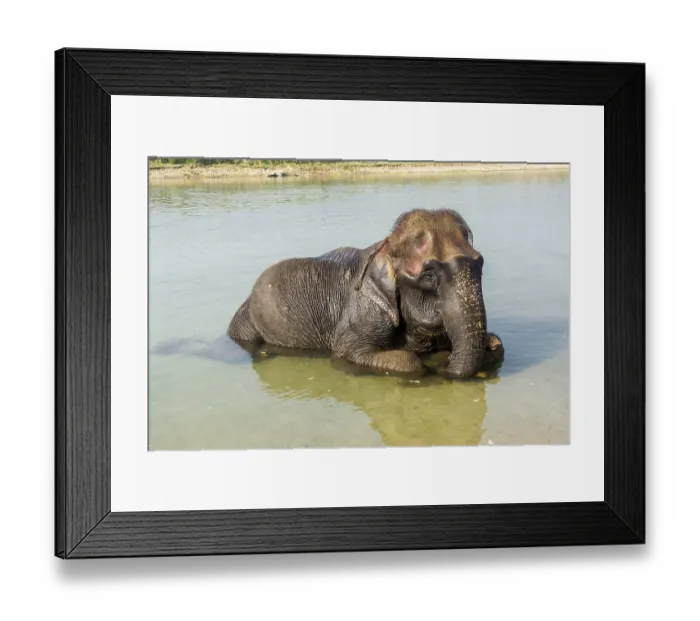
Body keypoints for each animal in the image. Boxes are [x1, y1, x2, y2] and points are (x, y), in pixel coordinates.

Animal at [227, 209, 504, 379]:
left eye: (480, 263)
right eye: (428, 275)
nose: (446, 369)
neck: (385, 245)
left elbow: (498, 344)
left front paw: (485, 344)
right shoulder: (363, 313)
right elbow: (352, 353)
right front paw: (429, 365)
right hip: (246, 323)